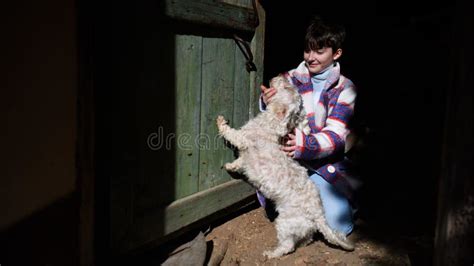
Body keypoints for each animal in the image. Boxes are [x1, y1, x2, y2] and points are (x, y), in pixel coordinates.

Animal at [217, 76, 354, 258]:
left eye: (288, 87)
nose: (280, 76)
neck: (271, 123)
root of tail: (319, 215)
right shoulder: (246, 156)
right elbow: (240, 162)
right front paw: (230, 166)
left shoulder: (243, 139)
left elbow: (231, 133)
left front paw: (221, 122)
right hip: (302, 227)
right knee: (307, 237)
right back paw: (302, 244)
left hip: (285, 223)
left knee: (288, 246)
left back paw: (271, 254)